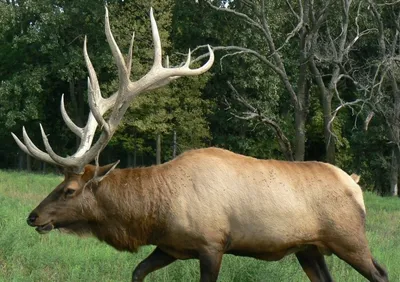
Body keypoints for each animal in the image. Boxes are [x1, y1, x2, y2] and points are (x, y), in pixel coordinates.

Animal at [11, 6, 388, 282]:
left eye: (69, 190)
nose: (32, 216)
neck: (154, 213)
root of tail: (356, 184)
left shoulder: (212, 244)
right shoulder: (169, 246)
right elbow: (137, 272)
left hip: (349, 238)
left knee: (380, 273)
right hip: (309, 248)